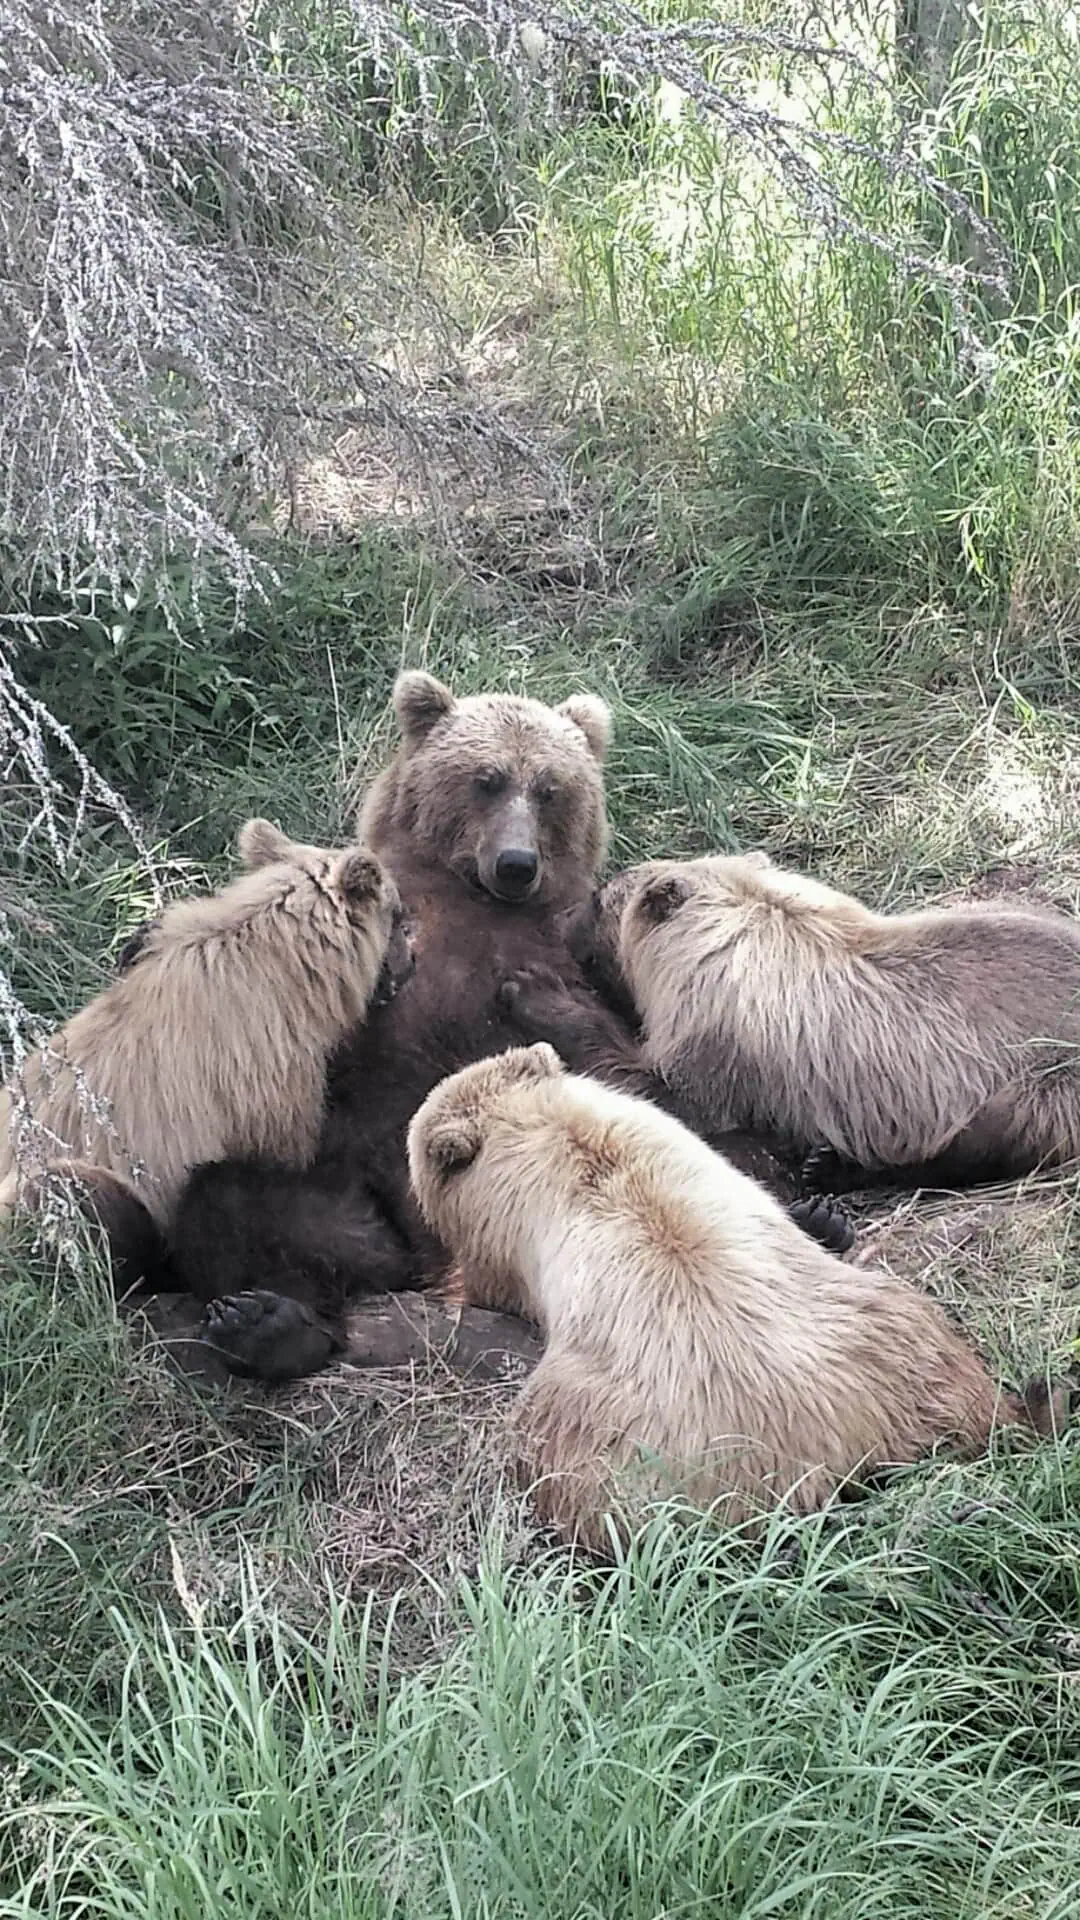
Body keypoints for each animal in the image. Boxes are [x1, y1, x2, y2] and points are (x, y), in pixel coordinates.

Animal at [171, 672, 854, 1385]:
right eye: (487, 779)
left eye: (550, 788)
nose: (516, 863)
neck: (478, 904)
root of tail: (456, 1272)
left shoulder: (584, 954)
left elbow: (632, 1065)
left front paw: (534, 1004)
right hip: (366, 1211)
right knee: (235, 1201)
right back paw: (268, 1323)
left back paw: (815, 1207)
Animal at [407, 1043, 1067, 1554]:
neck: (550, 1133)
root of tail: (824, 1455)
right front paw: (819, 1217)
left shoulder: (503, 1238)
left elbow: (492, 1285)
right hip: (897, 1334)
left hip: (617, 1440)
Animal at [560, 850, 1080, 1197]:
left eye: (599, 899)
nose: (568, 922)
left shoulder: (718, 1044)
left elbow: (667, 1097)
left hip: (1045, 1079)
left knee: (986, 1138)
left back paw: (833, 1167)